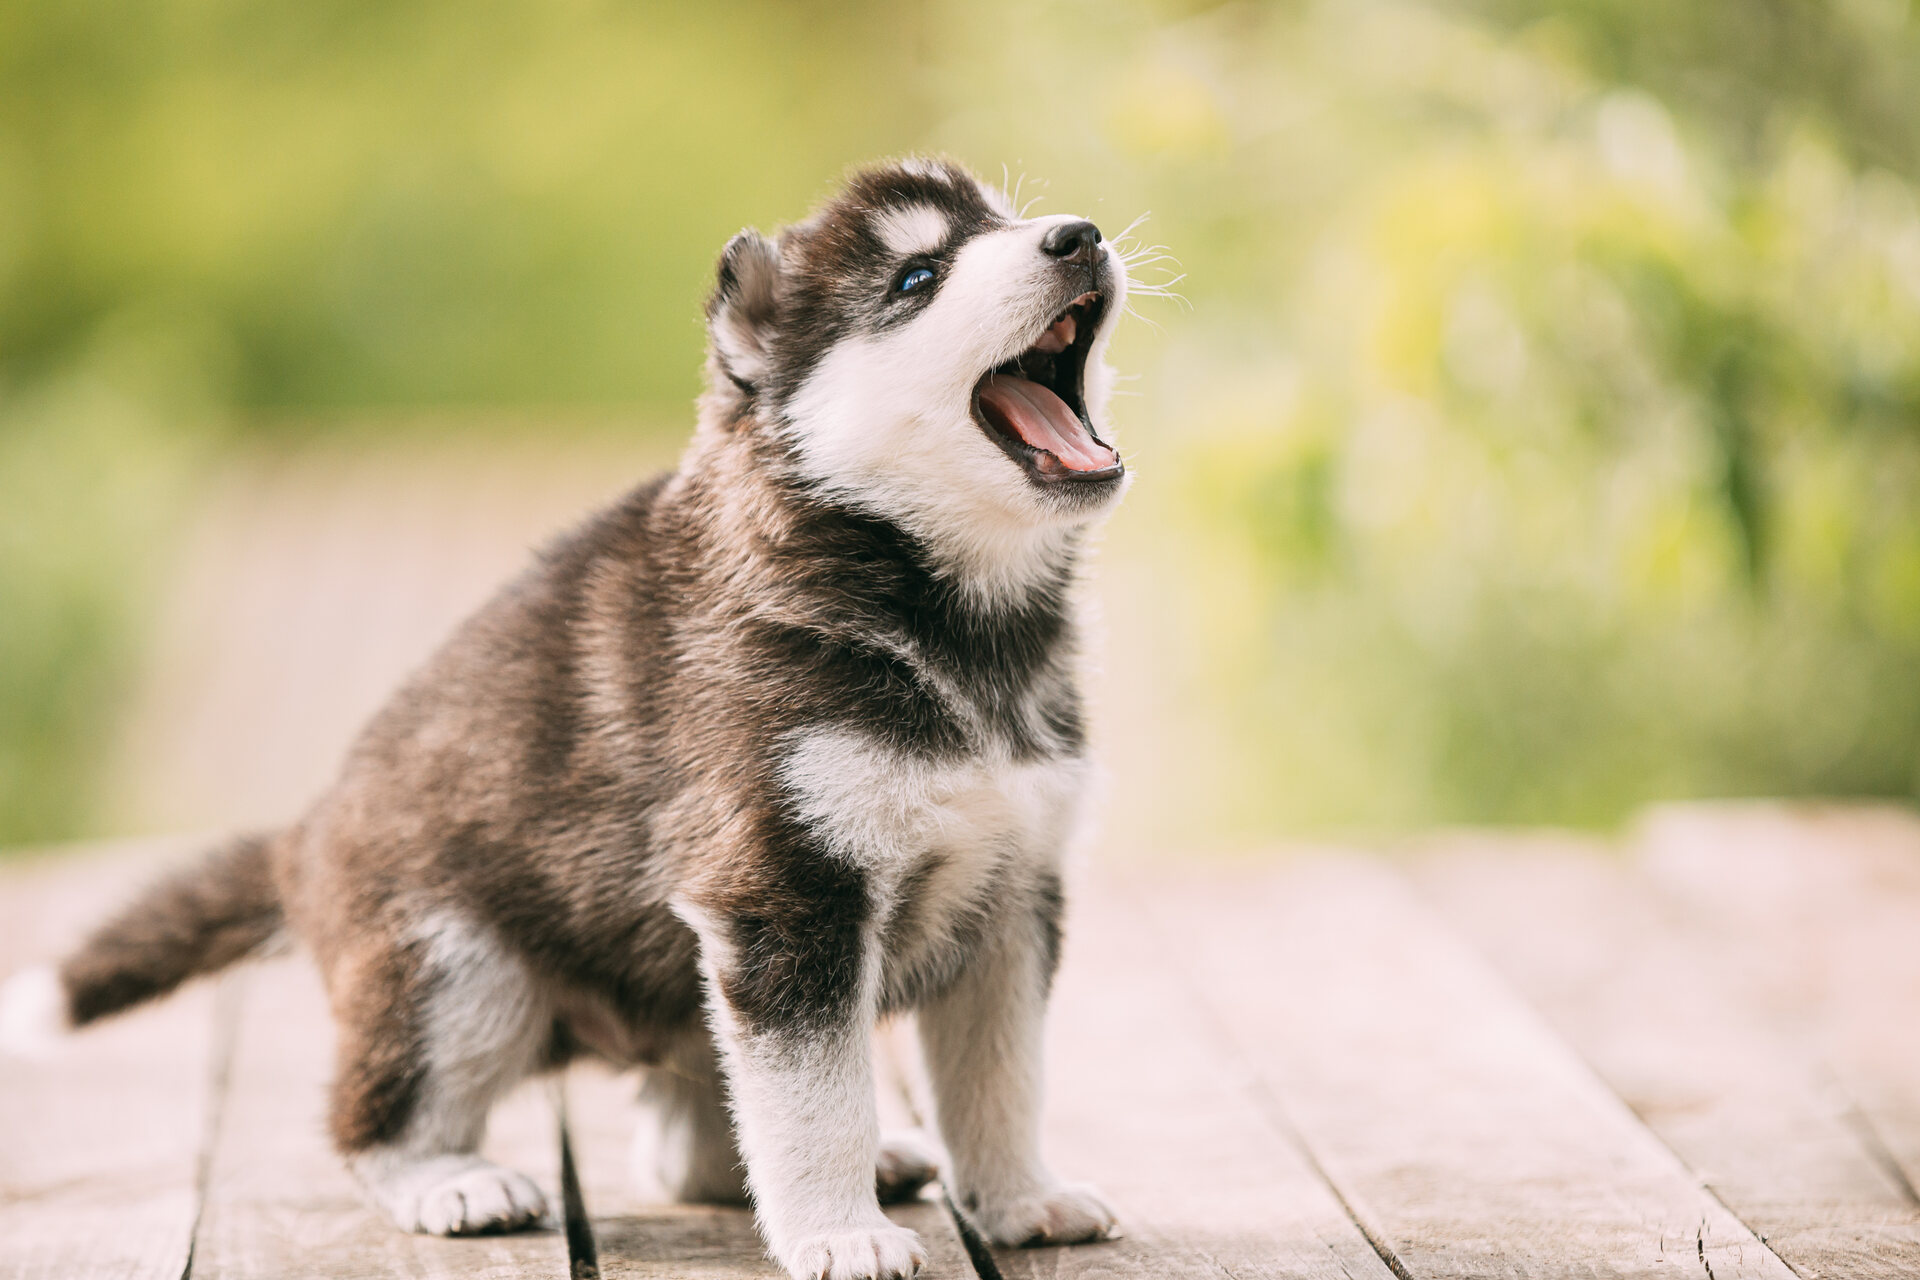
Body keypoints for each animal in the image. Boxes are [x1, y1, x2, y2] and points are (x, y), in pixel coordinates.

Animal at [0, 163, 1128, 1280]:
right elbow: (818, 1099)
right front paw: (840, 1233)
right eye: (917, 277)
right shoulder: (783, 894)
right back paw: (452, 1183)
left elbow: (1000, 1076)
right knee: (372, 1121)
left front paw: (1022, 1200)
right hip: (456, 972)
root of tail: (301, 838)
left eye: (1008, 218)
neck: (956, 620)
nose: (1079, 234)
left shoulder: (1012, 892)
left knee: (686, 1146)